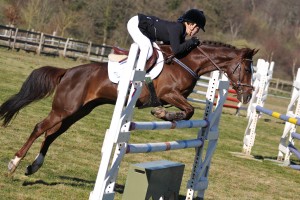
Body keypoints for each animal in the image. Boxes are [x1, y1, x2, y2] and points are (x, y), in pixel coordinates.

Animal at [0, 41, 258, 176]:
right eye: (247, 69)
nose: (247, 95)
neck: (188, 62)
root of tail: (69, 71)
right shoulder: (168, 94)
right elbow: (189, 111)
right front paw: (161, 114)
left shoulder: (177, 97)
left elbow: (189, 111)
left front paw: (164, 114)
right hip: (64, 109)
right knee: (39, 128)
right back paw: (14, 163)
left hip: (77, 112)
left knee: (51, 134)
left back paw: (34, 166)